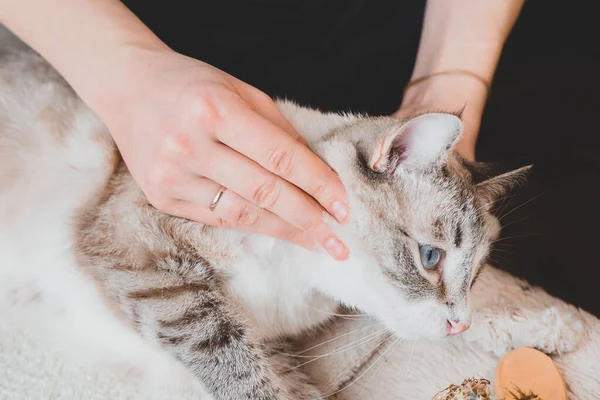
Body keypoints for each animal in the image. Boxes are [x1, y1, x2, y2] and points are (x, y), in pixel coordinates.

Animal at [0, 32, 552, 400]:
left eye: (476, 275)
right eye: (431, 257)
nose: (460, 325)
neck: (294, 281)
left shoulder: (272, 343)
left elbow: (290, 386)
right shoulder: (147, 257)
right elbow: (241, 372)